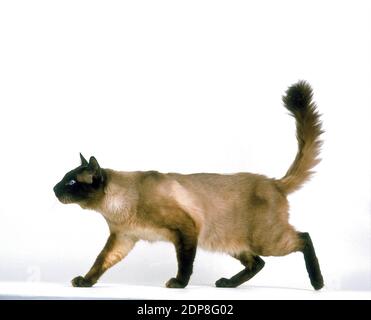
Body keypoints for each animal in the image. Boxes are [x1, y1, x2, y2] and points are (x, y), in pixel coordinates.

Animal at [53, 80, 324, 290]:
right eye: (65, 178)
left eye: (71, 181)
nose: (54, 189)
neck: (115, 208)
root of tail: (274, 182)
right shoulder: (123, 238)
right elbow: (100, 262)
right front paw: (85, 282)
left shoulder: (186, 230)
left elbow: (185, 264)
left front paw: (178, 284)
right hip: (227, 240)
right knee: (258, 262)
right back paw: (227, 284)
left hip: (265, 240)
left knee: (304, 238)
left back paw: (318, 283)